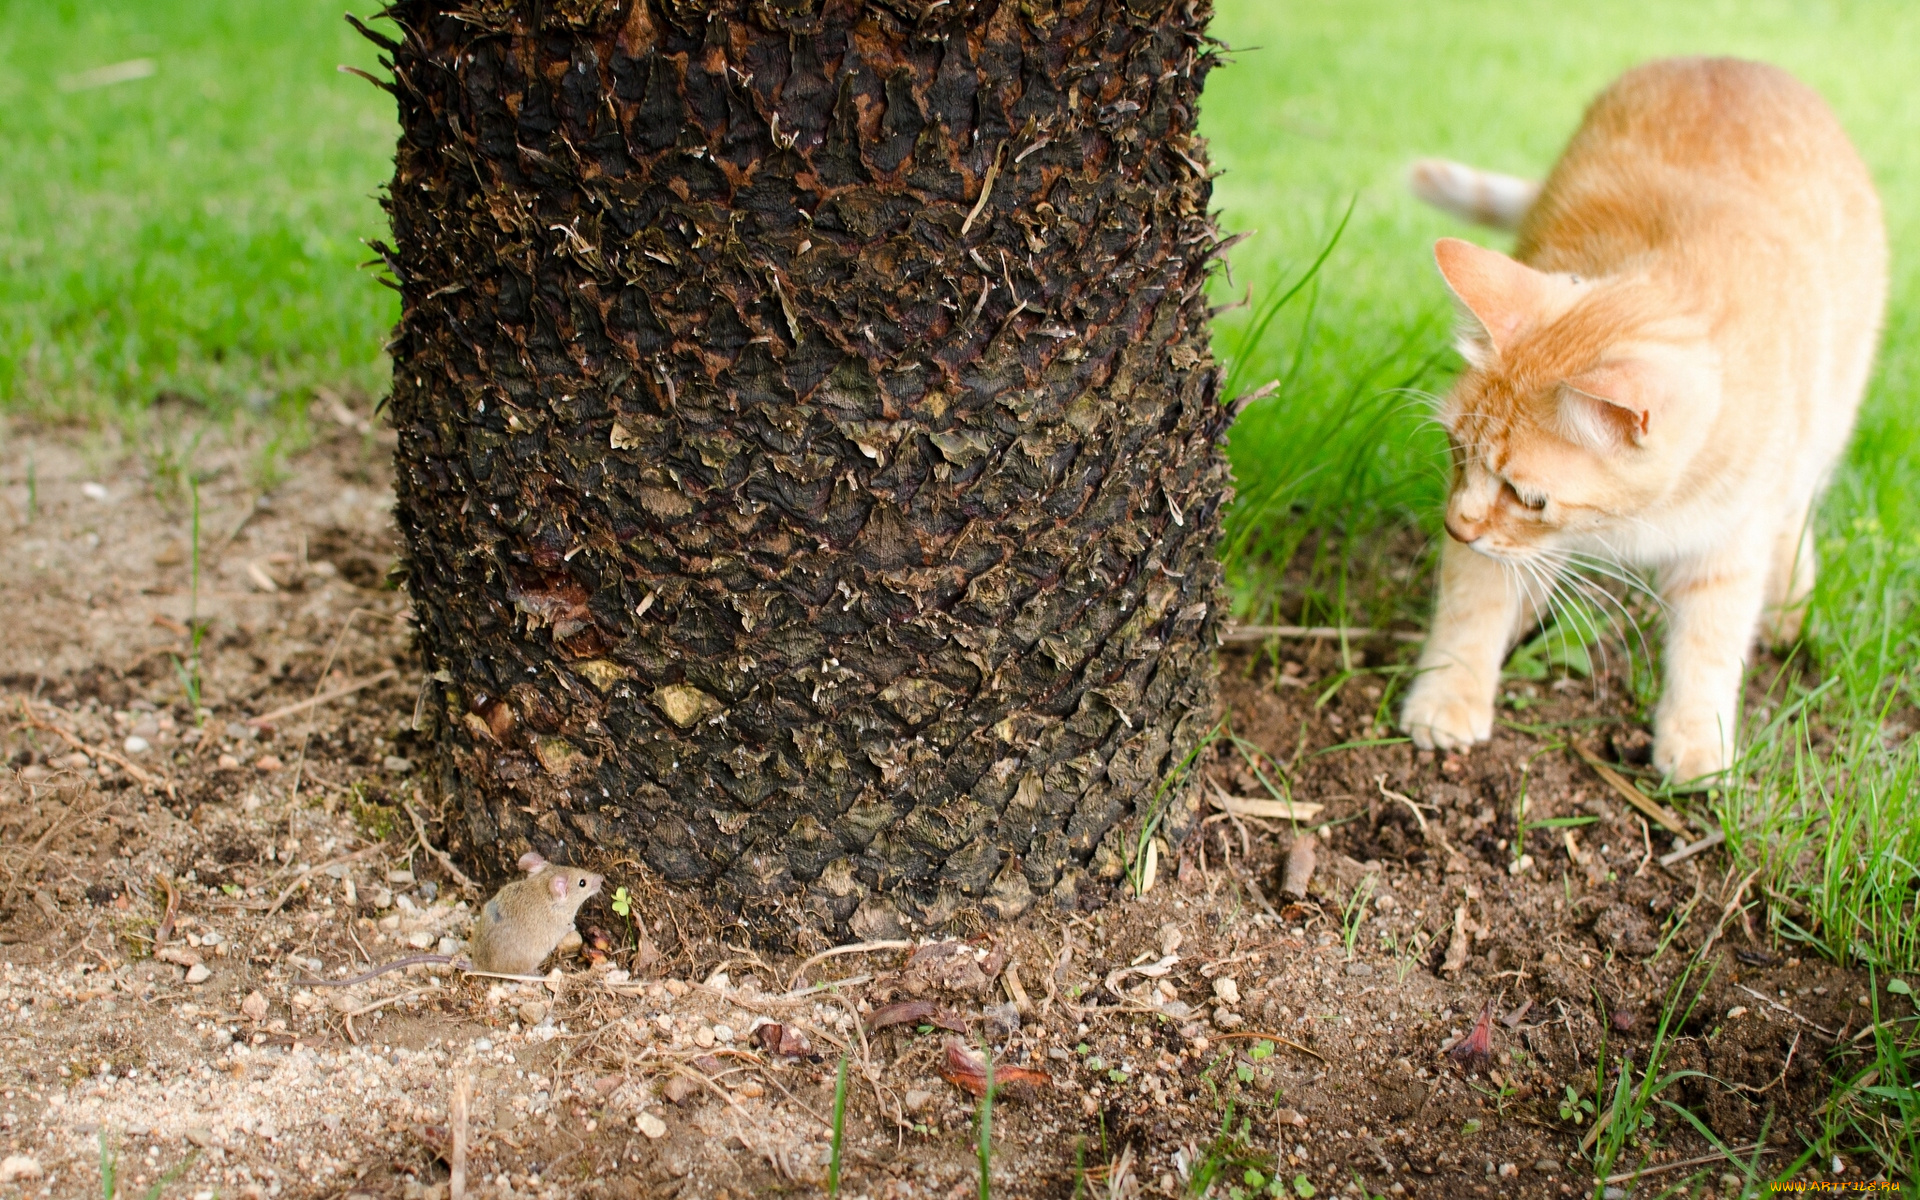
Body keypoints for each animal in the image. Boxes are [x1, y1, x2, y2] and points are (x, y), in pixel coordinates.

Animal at [1405, 60, 1881, 783]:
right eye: (1456, 451)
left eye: (1528, 496)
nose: (1454, 526)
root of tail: (1733, 60)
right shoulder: (1485, 543)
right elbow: (1473, 604)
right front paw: (1448, 695)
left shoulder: (1730, 544)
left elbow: (1710, 645)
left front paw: (1697, 740)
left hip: (1825, 423)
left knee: (1798, 510)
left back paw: (1788, 600)